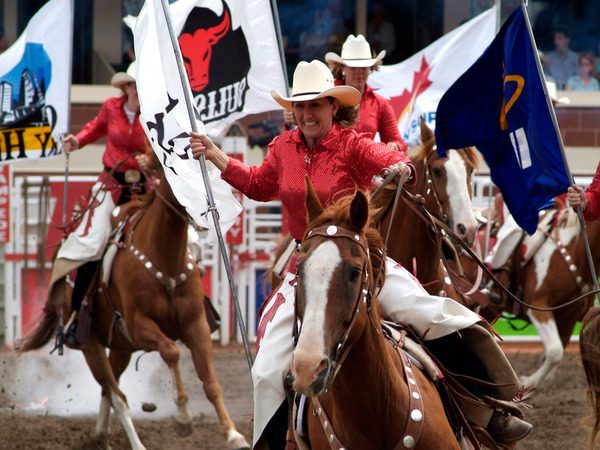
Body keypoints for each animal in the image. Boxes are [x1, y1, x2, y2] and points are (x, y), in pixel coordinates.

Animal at [18, 163, 248, 450]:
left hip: (120, 347)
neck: (164, 260)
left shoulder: (196, 326)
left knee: (108, 389)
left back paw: (101, 436)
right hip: (91, 344)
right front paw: (183, 417)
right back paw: (134, 442)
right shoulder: (140, 326)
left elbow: (211, 382)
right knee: (117, 395)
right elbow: (171, 352)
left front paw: (233, 434)